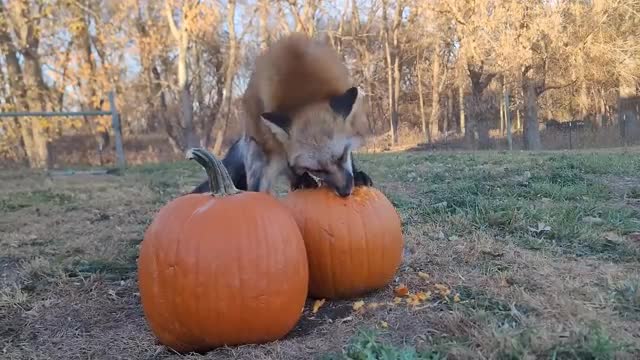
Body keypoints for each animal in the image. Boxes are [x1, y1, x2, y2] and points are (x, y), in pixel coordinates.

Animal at [192, 32, 372, 197]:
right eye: (316, 169)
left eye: (341, 157)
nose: (345, 192)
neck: (305, 90)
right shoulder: (280, 149)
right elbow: (292, 167)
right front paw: (303, 180)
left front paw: (358, 175)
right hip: (264, 158)